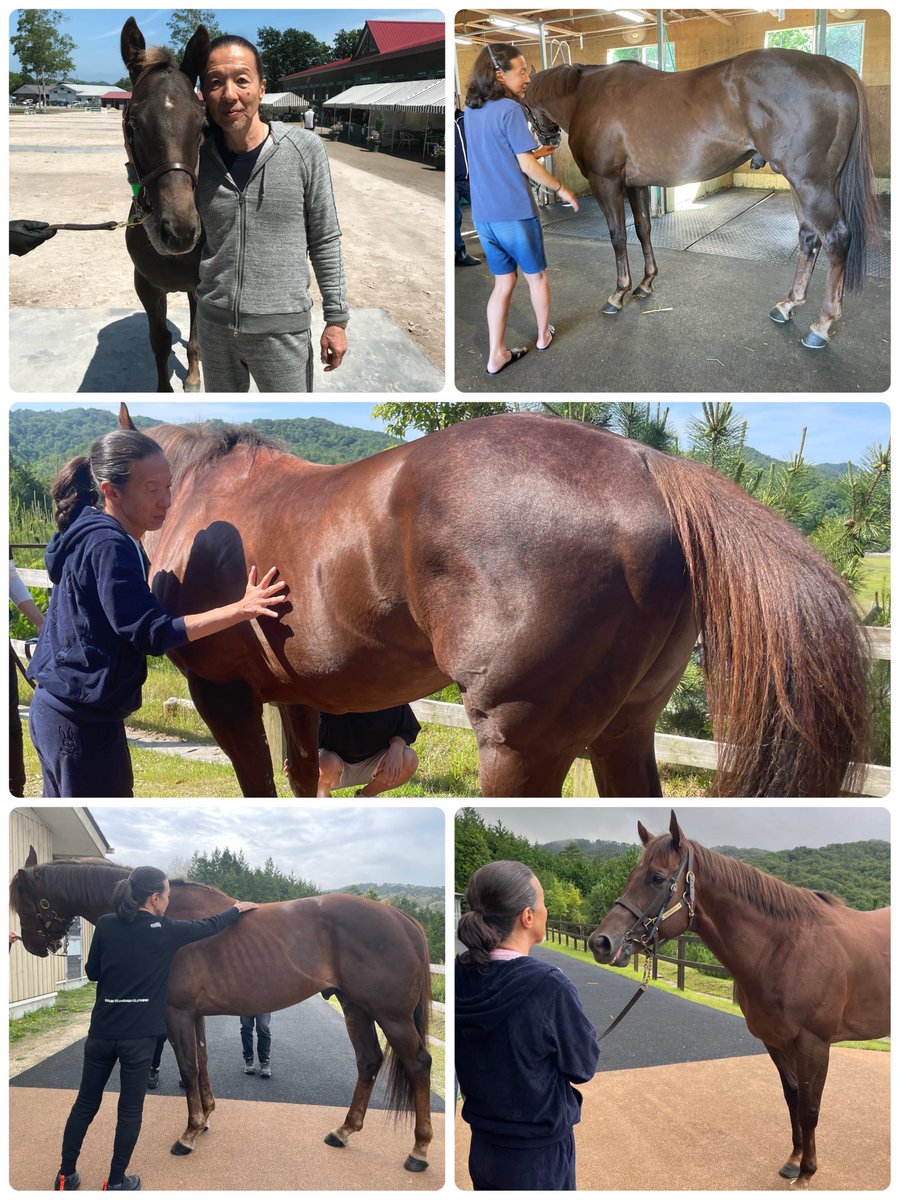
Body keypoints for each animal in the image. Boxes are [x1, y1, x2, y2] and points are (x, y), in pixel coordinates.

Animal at [9, 847, 433, 1172]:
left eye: (25, 903)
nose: (32, 945)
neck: (162, 918)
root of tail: (401, 918)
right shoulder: (194, 1015)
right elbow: (202, 1062)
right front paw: (207, 1118)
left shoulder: (178, 1013)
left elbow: (188, 1066)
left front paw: (189, 1133)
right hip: (356, 1007)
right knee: (368, 1060)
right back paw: (343, 1132)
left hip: (391, 1017)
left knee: (418, 1065)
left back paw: (419, 1150)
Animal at [119, 403, 870, 799]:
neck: (197, 500)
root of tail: (649, 465)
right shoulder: (300, 699)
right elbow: (303, 783)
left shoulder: (225, 697)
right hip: (623, 730)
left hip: (519, 744)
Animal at [522, 50, 881, 349]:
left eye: (523, 103)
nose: (547, 139)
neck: (587, 95)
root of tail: (836, 69)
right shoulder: (636, 184)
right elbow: (643, 229)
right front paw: (646, 283)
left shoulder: (606, 181)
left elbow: (618, 236)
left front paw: (618, 293)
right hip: (807, 185)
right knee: (809, 238)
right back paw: (787, 305)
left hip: (810, 184)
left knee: (834, 238)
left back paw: (821, 325)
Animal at [587, 812, 890, 1188]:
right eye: (630, 876)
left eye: (656, 878)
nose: (600, 942)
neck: (788, 948)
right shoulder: (777, 1043)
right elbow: (792, 1099)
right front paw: (794, 1160)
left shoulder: (814, 1044)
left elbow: (810, 1108)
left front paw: (807, 1172)